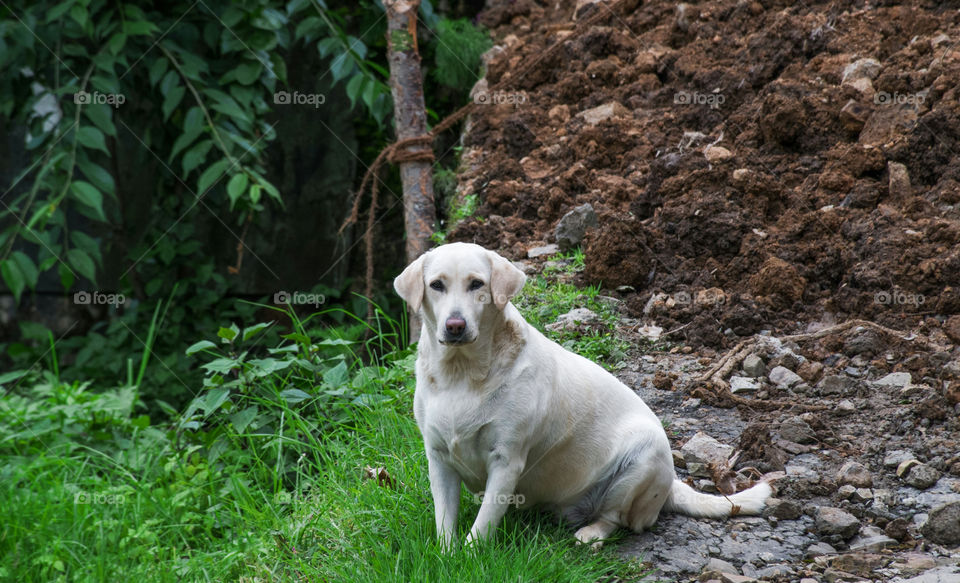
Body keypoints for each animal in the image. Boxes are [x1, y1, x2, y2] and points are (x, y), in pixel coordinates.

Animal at [394, 241, 768, 548]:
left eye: (477, 284)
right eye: (437, 285)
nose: (455, 326)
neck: (462, 373)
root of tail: (673, 481)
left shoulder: (506, 461)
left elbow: (484, 524)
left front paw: (470, 555)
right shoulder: (438, 458)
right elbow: (445, 519)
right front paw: (447, 555)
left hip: (643, 458)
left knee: (618, 519)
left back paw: (592, 533)